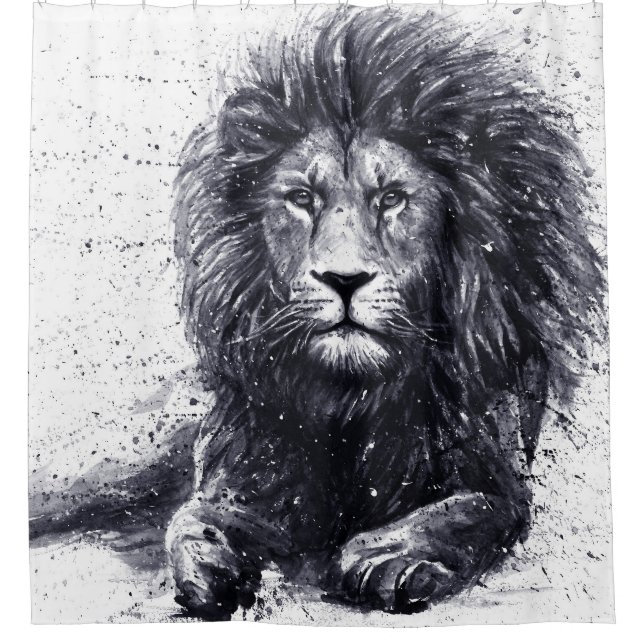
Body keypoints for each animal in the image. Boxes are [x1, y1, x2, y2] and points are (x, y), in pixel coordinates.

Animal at [167, 8, 605, 620]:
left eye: (392, 198)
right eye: (302, 198)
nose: (344, 279)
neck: (354, 398)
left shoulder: (496, 473)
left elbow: (465, 510)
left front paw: (386, 554)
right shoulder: (255, 464)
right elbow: (195, 518)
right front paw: (209, 570)